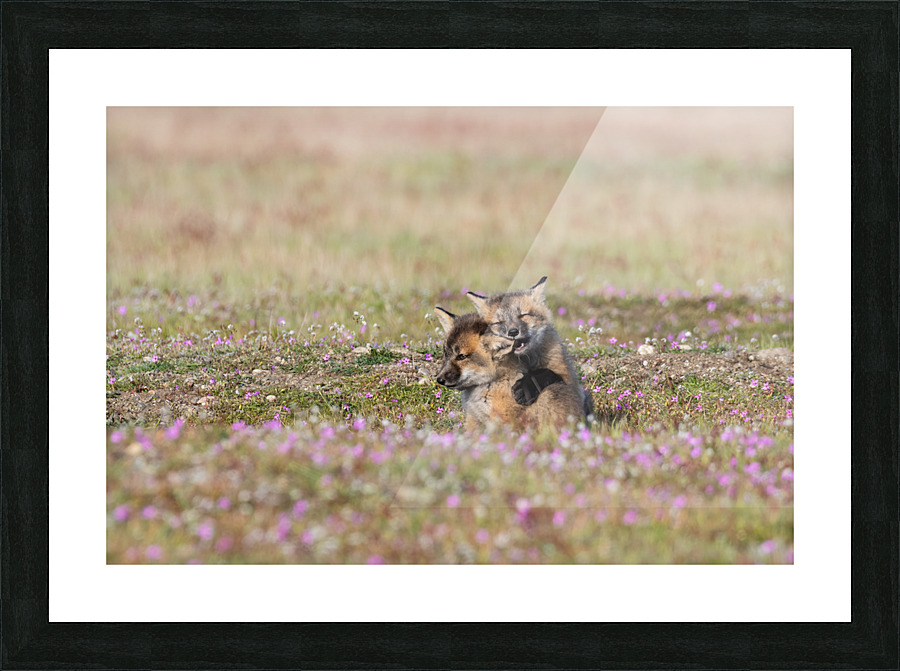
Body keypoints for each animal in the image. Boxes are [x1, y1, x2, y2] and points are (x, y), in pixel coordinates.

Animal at [466, 276, 595, 420]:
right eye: (498, 322)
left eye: (523, 315)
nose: (513, 332)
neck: (525, 360)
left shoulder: (568, 379)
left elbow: (545, 372)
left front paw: (526, 386)